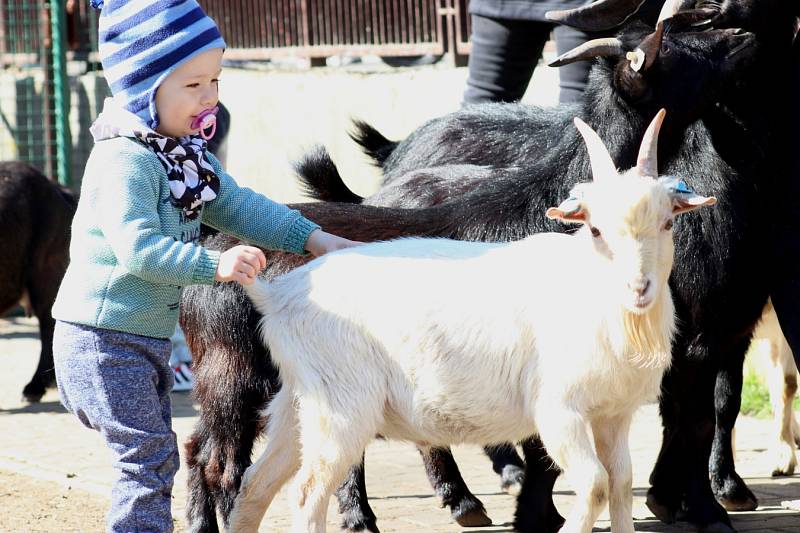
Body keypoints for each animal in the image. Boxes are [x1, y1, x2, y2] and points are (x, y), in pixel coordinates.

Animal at [228, 109, 716, 532]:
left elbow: (619, 485)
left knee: (255, 485)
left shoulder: (614, 415)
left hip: (299, 401)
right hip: (340, 406)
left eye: (668, 223)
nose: (639, 288)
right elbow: (595, 486)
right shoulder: (559, 412)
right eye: (595, 230)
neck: (595, 297)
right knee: (307, 493)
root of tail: (279, 294)